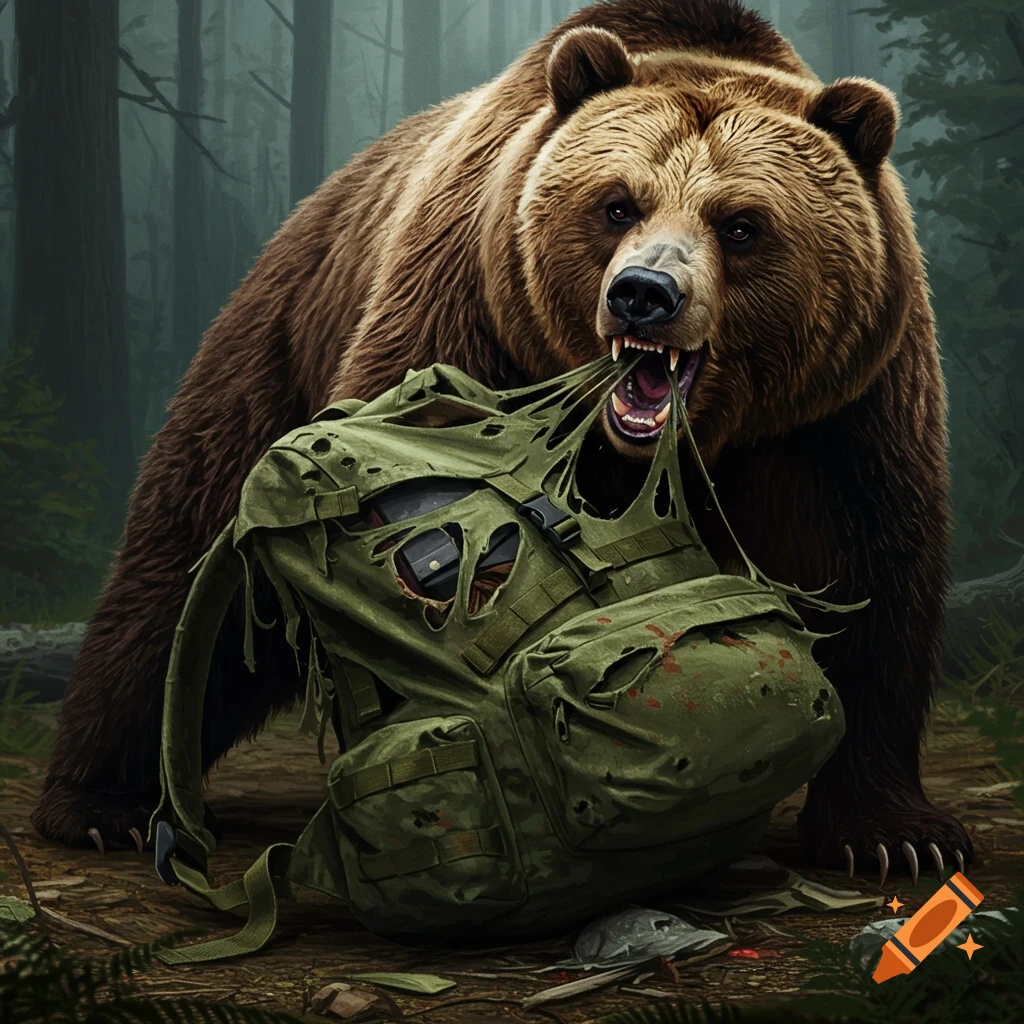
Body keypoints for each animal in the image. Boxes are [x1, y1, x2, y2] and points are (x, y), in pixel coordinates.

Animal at [33, 0, 972, 886]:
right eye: (617, 203)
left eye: (741, 223)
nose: (644, 294)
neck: (687, 440)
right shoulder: (466, 314)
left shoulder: (840, 413)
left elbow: (868, 574)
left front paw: (897, 835)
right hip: (274, 344)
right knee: (184, 571)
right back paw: (101, 802)